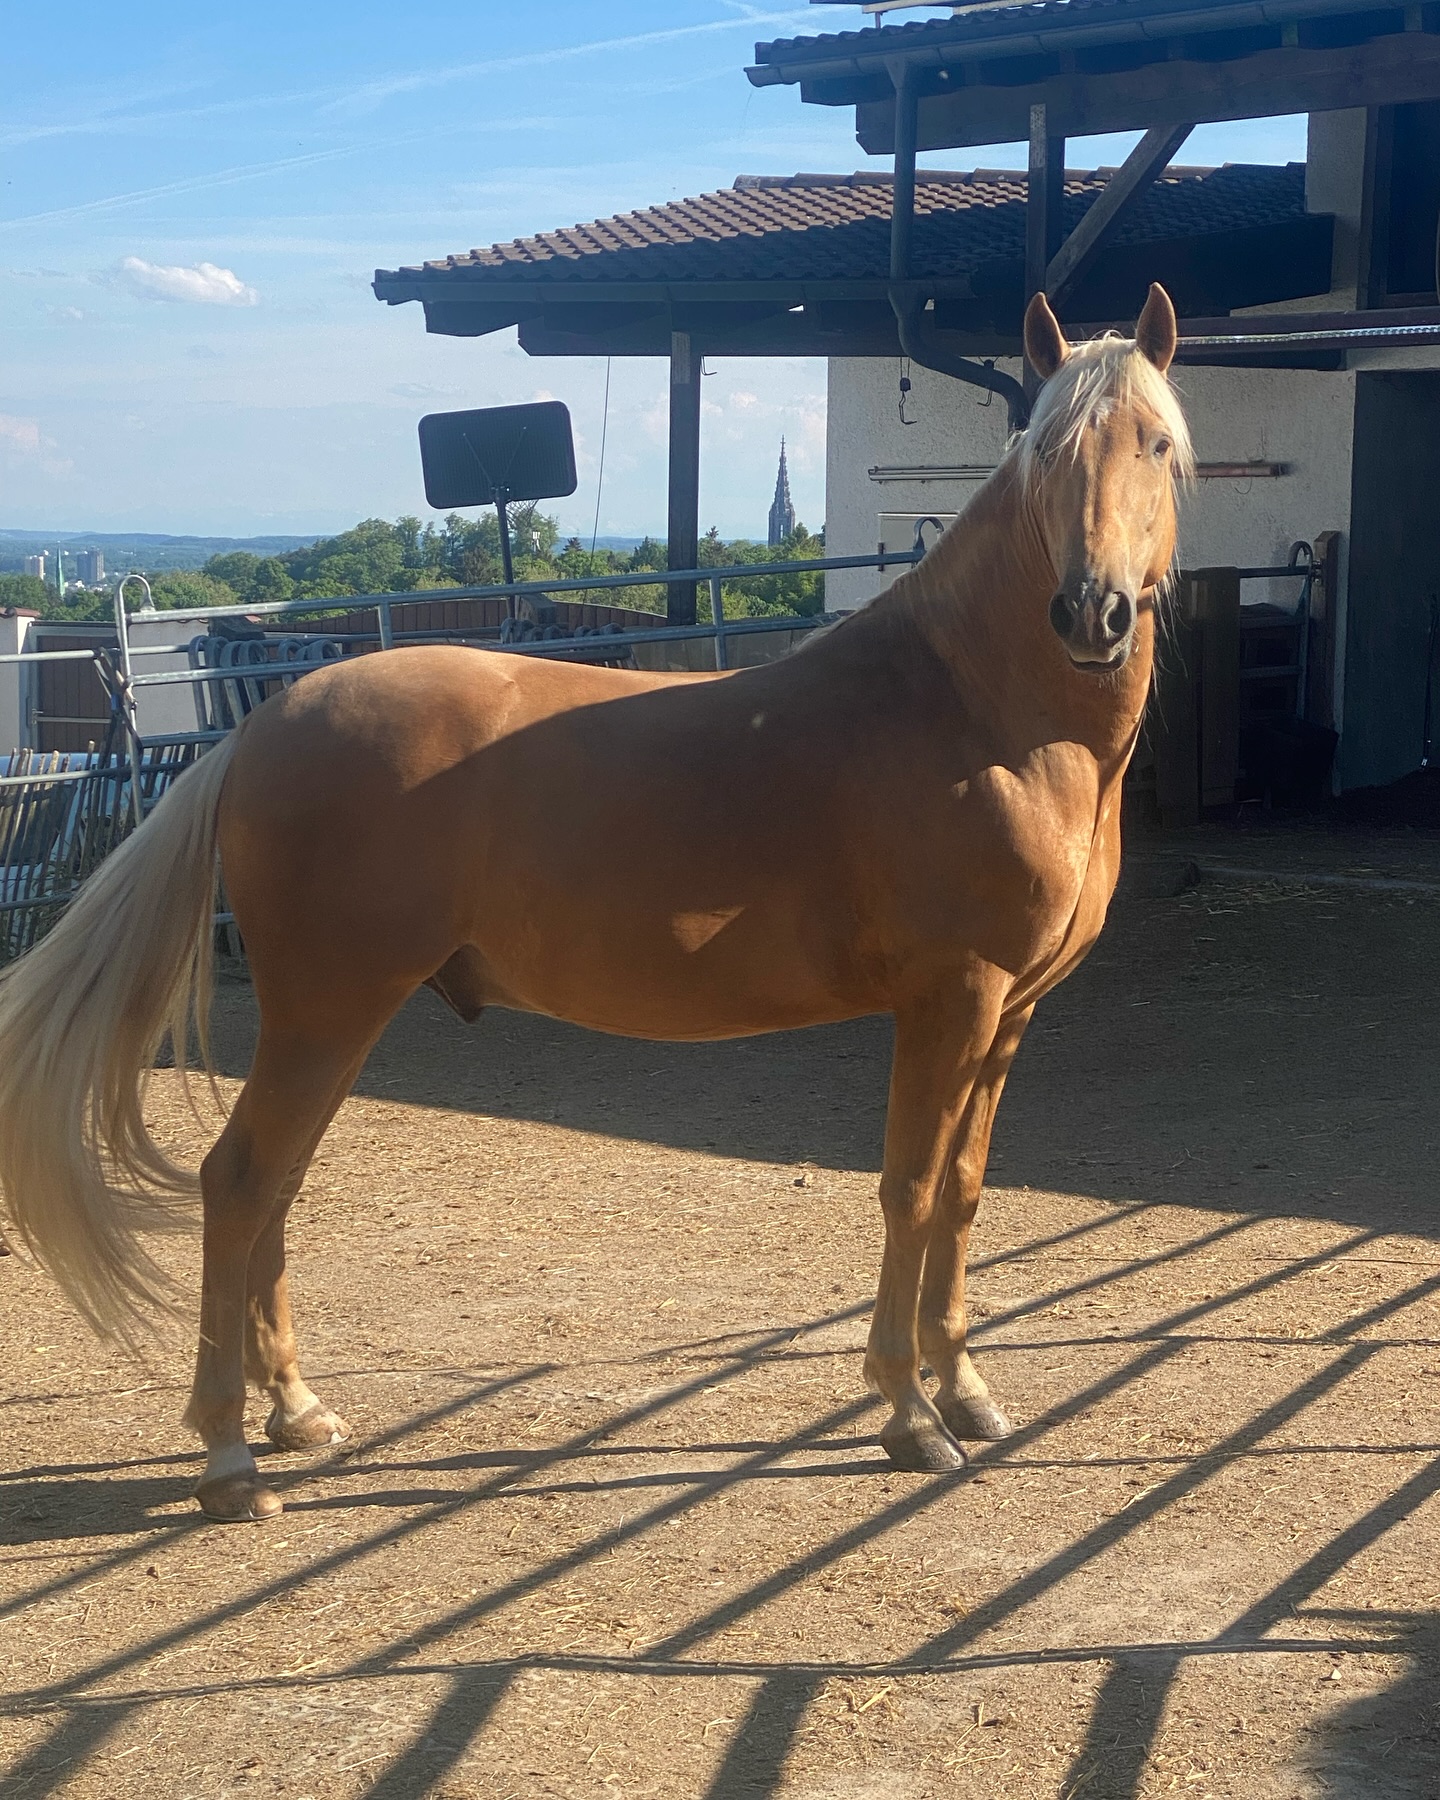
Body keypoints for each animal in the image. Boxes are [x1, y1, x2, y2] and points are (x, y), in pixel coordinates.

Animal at [0, 285, 1191, 1522]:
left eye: (1156, 444)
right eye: (1047, 451)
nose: (1092, 614)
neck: (977, 716)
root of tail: (257, 731)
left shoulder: (1009, 1013)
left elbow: (960, 1191)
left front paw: (967, 1393)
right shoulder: (949, 1001)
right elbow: (907, 1191)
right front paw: (909, 1416)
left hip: (333, 1021)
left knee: (274, 1186)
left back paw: (297, 1416)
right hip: (326, 1011)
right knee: (239, 1184)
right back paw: (230, 1458)